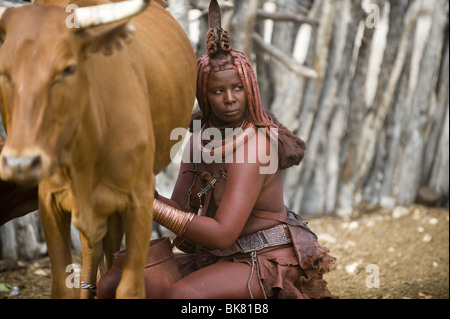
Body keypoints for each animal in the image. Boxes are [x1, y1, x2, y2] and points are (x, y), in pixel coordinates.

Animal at [0, 0, 197, 300]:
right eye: (4, 72)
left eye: (68, 69)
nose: (20, 163)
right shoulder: (49, 200)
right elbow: (62, 285)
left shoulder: (140, 198)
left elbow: (130, 287)